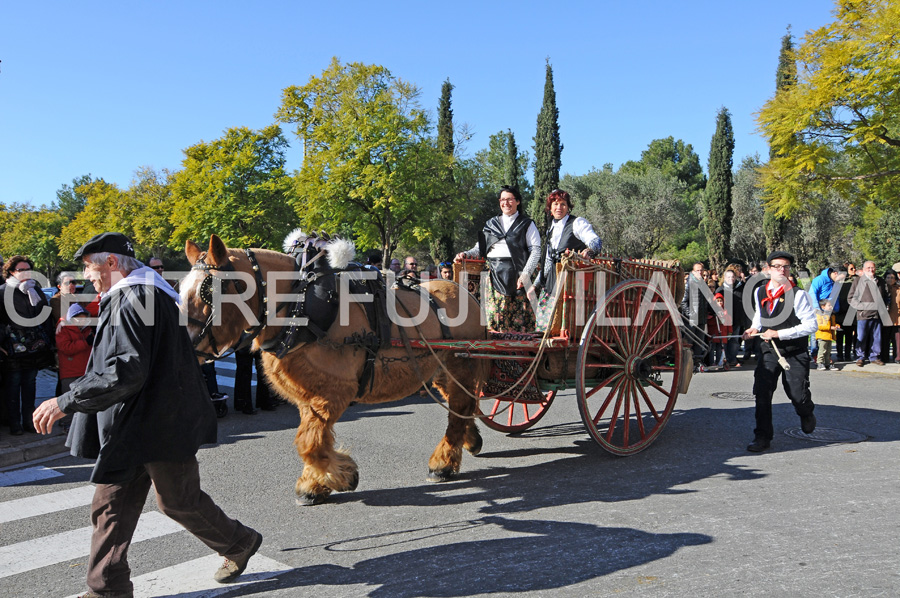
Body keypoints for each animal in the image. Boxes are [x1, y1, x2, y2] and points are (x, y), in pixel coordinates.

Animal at [182, 234, 488, 506]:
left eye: (208, 291)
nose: (185, 345)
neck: (300, 308)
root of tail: (466, 293)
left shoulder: (335, 392)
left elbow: (309, 443)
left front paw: (342, 476)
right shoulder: (309, 397)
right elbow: (312, 438)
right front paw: (316, 483)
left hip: (460, 364)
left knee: (460, 406)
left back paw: (443, 463)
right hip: (439, 371)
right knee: (462, 403)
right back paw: (469, 440)